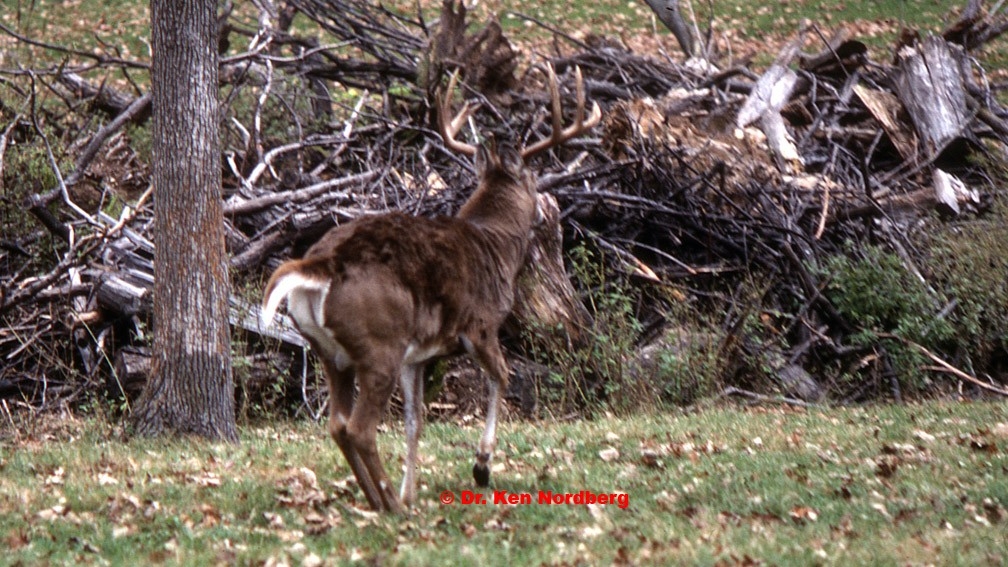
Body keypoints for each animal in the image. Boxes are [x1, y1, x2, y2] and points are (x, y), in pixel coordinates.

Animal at [262, 62, 596, 512]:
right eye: (533, 179)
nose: (544, 213)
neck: (496, 245)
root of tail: (322, 265)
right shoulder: (480, 325)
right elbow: (502, 377)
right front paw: (481, 466)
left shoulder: (417, 355)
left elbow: (415, 421)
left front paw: (413, 486)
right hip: (379, 341)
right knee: (360, 427)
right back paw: (393, 505)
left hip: (330, 352)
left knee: (336, 424)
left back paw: (380, 498)